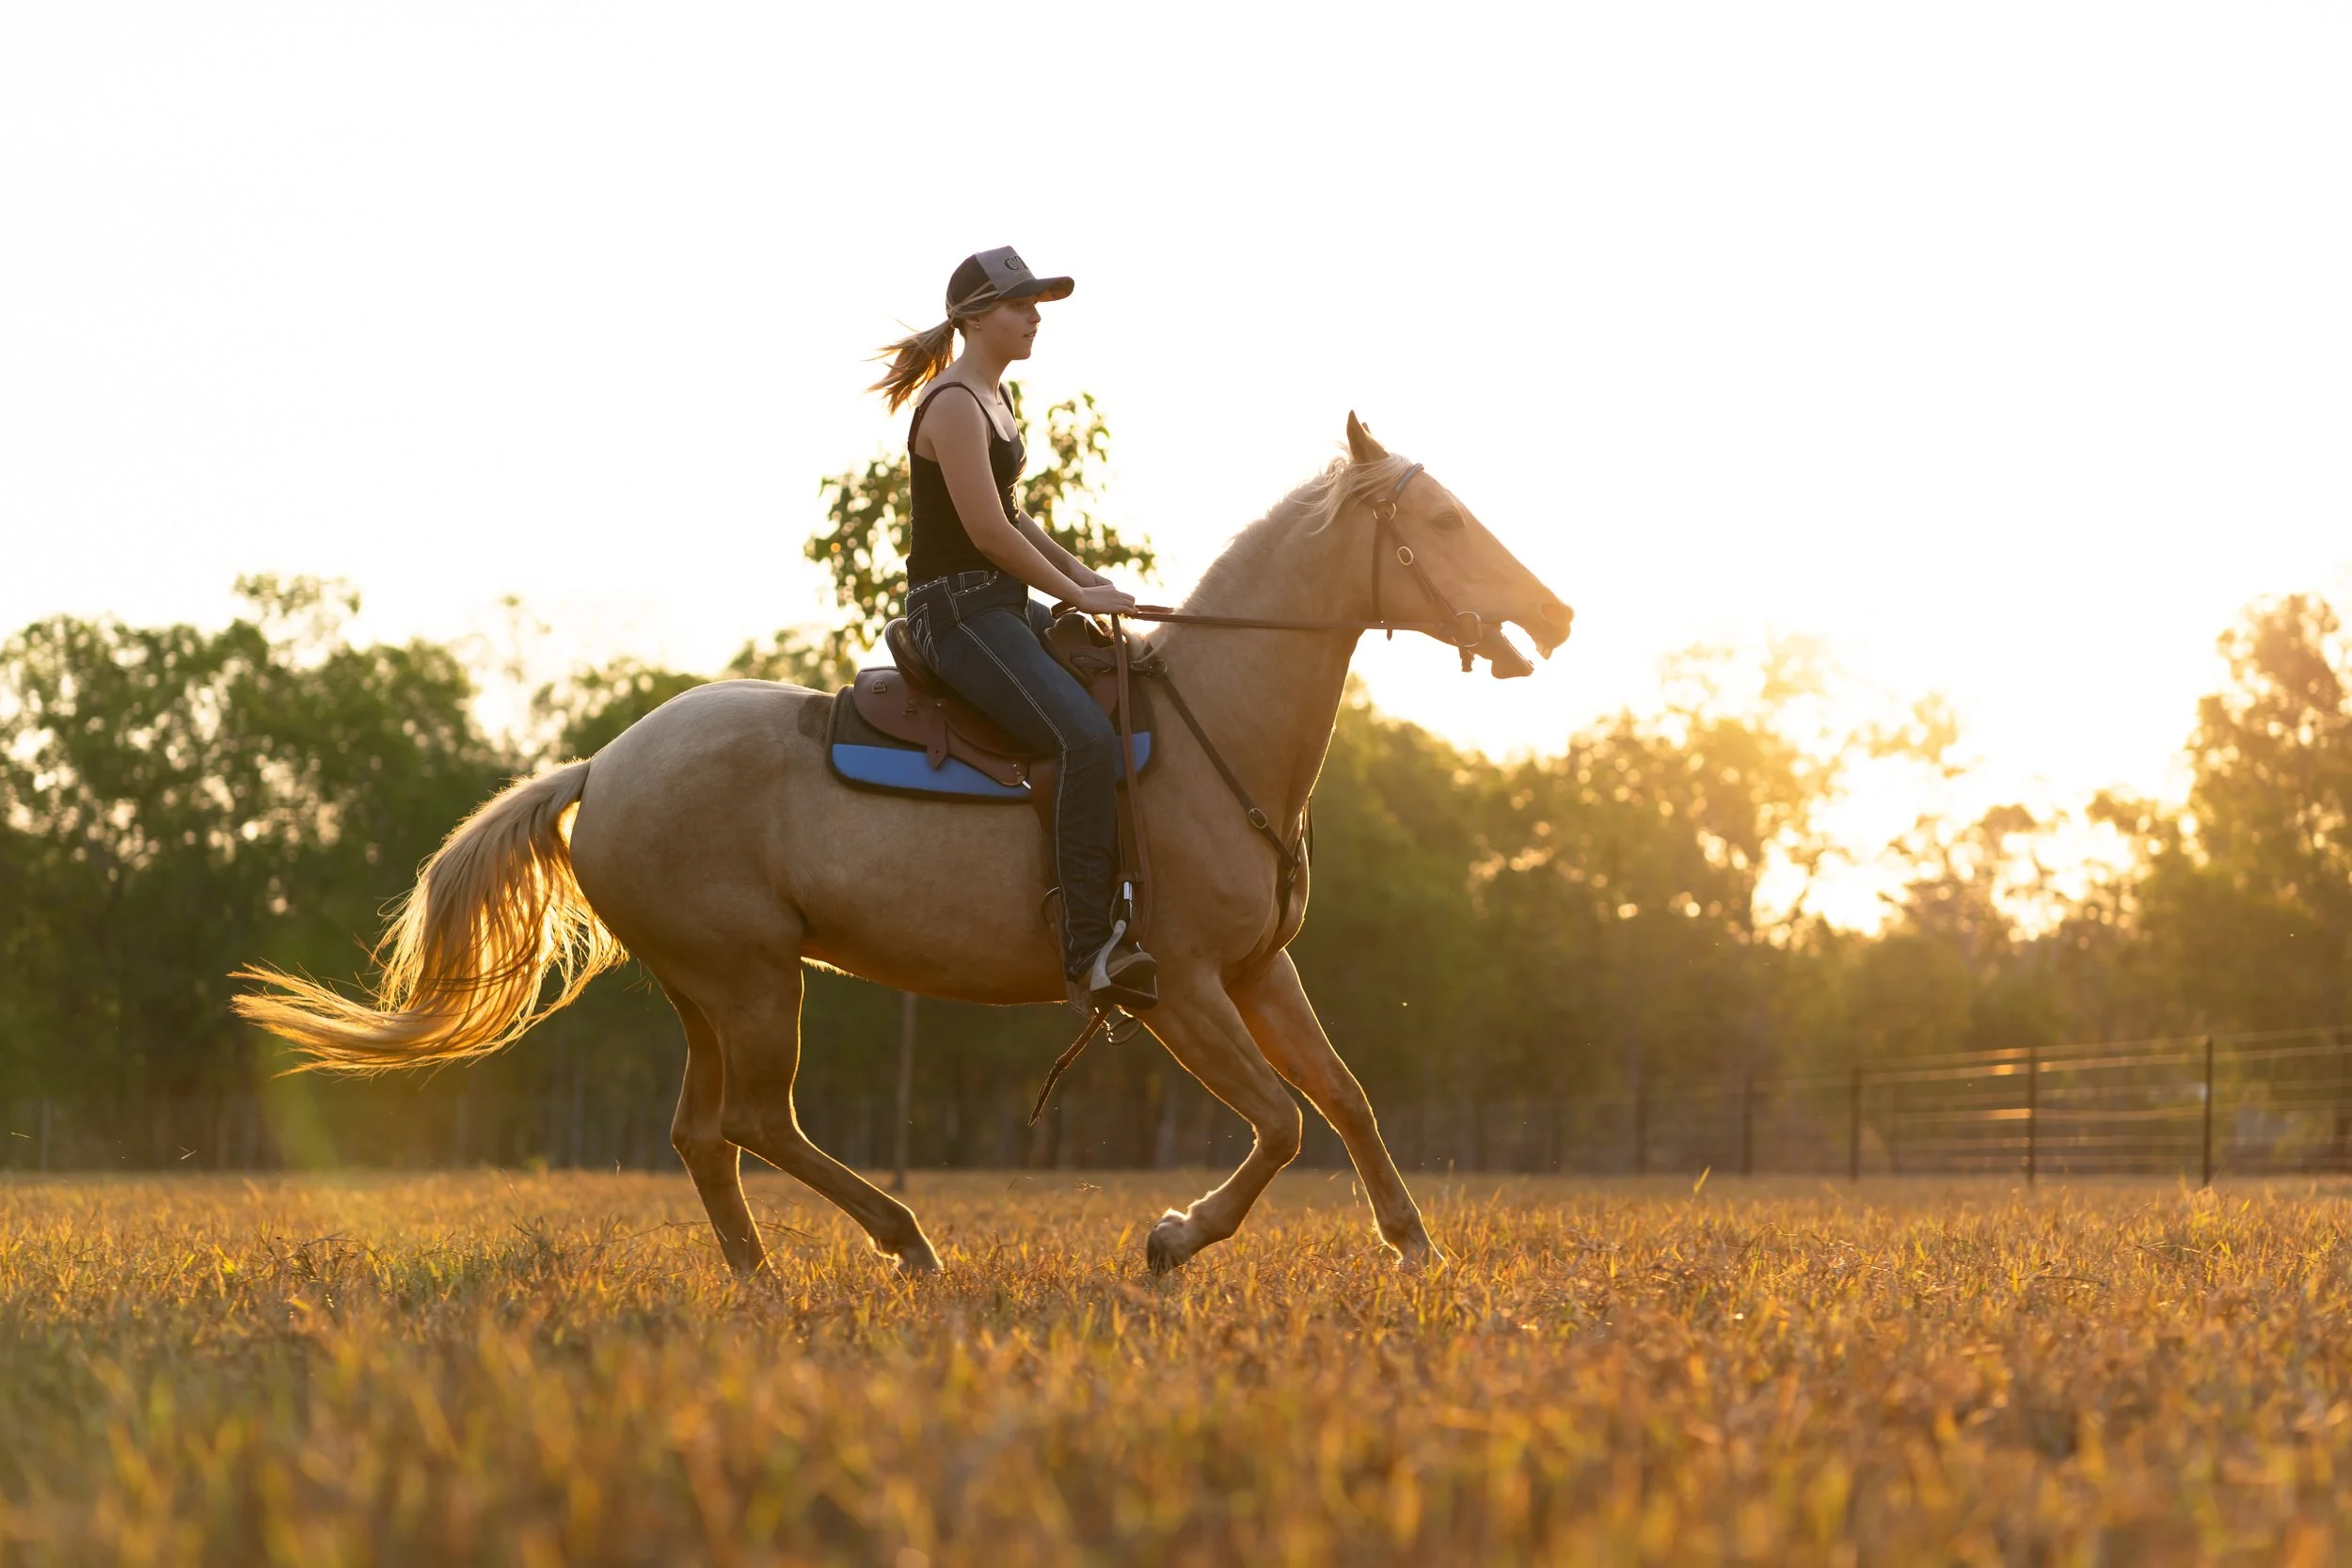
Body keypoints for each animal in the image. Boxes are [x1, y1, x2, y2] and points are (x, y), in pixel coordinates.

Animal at [233, 415, 1572, 1276]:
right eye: (1442, 515)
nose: (1555, 612)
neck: (1212, 728)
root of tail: (601, 767)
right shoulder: (1182, 986)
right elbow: (1283, 1124)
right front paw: (1170, 1238)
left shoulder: (1258, 969)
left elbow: (1344, 1096)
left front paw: (1415, 1248)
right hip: (753, 980)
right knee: (756, 1122)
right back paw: (906, 1241)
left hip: (704, 989)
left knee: (702, 1135)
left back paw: (763, 1281)